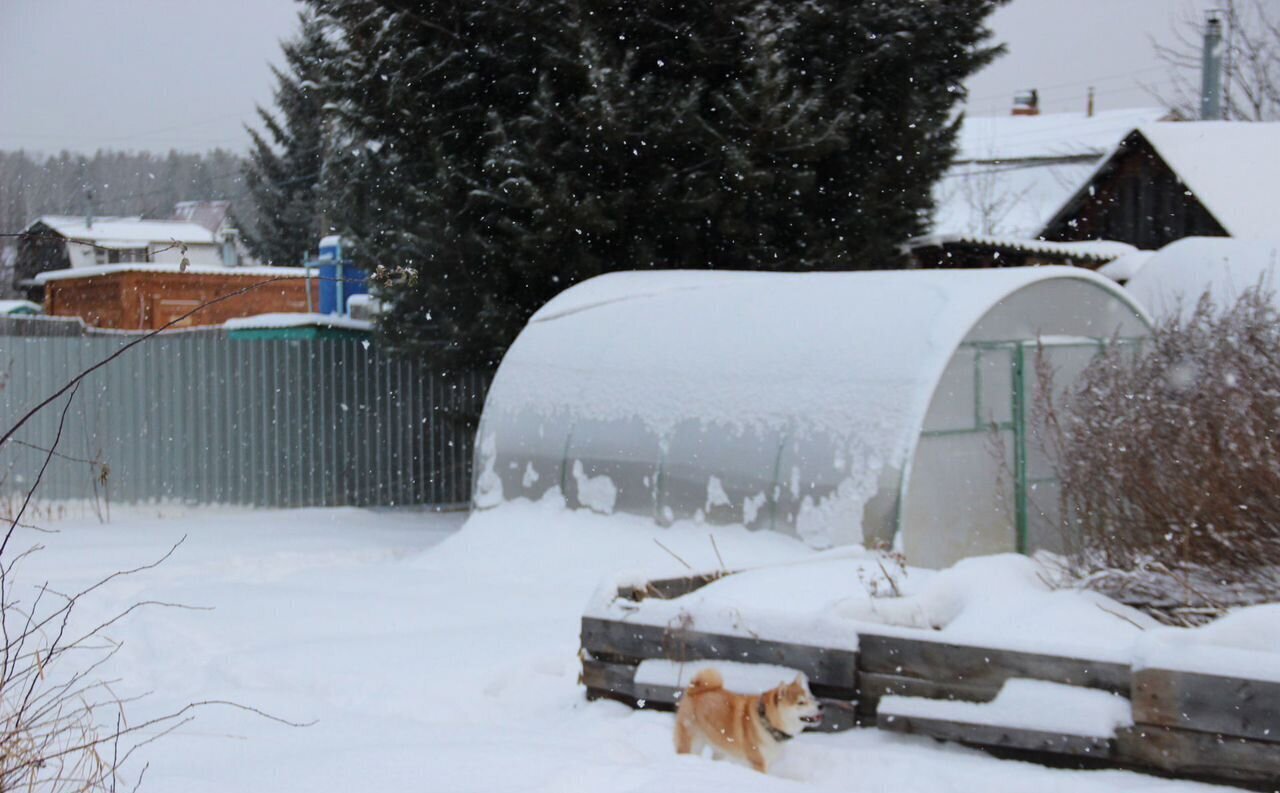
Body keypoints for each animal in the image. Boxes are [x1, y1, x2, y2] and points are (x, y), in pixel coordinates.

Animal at [675, 665, 824, 772]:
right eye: (801, 703)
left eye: (811, 698)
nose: (821, 705)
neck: (767, 722)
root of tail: (695, 690)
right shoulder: (758, 763)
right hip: (692, 741)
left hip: (720, 749)